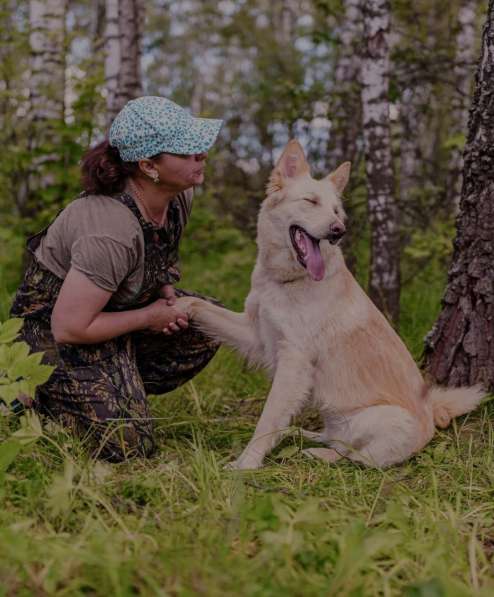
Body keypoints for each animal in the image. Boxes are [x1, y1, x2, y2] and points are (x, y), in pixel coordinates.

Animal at [177, 141, 482, 470]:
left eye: (336, 211)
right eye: (310, 201)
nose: (339, 230)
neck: (284, 280)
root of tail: (433, 416)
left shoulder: (293, 360)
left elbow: (267, 419)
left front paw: (246, 464)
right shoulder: (256, 334)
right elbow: (201, 307)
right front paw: (176, 304)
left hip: (383, 420)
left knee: (352, 455)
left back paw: (318, 453)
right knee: (331, 438)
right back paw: (301, 435)